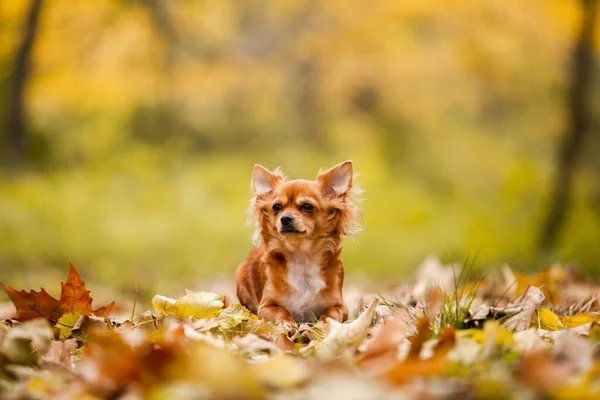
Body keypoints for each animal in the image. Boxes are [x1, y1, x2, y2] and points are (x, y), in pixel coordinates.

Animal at [236, 160, 360, 328]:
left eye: (307, 206)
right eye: (276, 207)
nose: (285, 218)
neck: (301, 256)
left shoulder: (339, 306)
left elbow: (330, 314)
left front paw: (323, 324)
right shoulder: (266, 306)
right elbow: (281, 311)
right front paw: (287, 324)